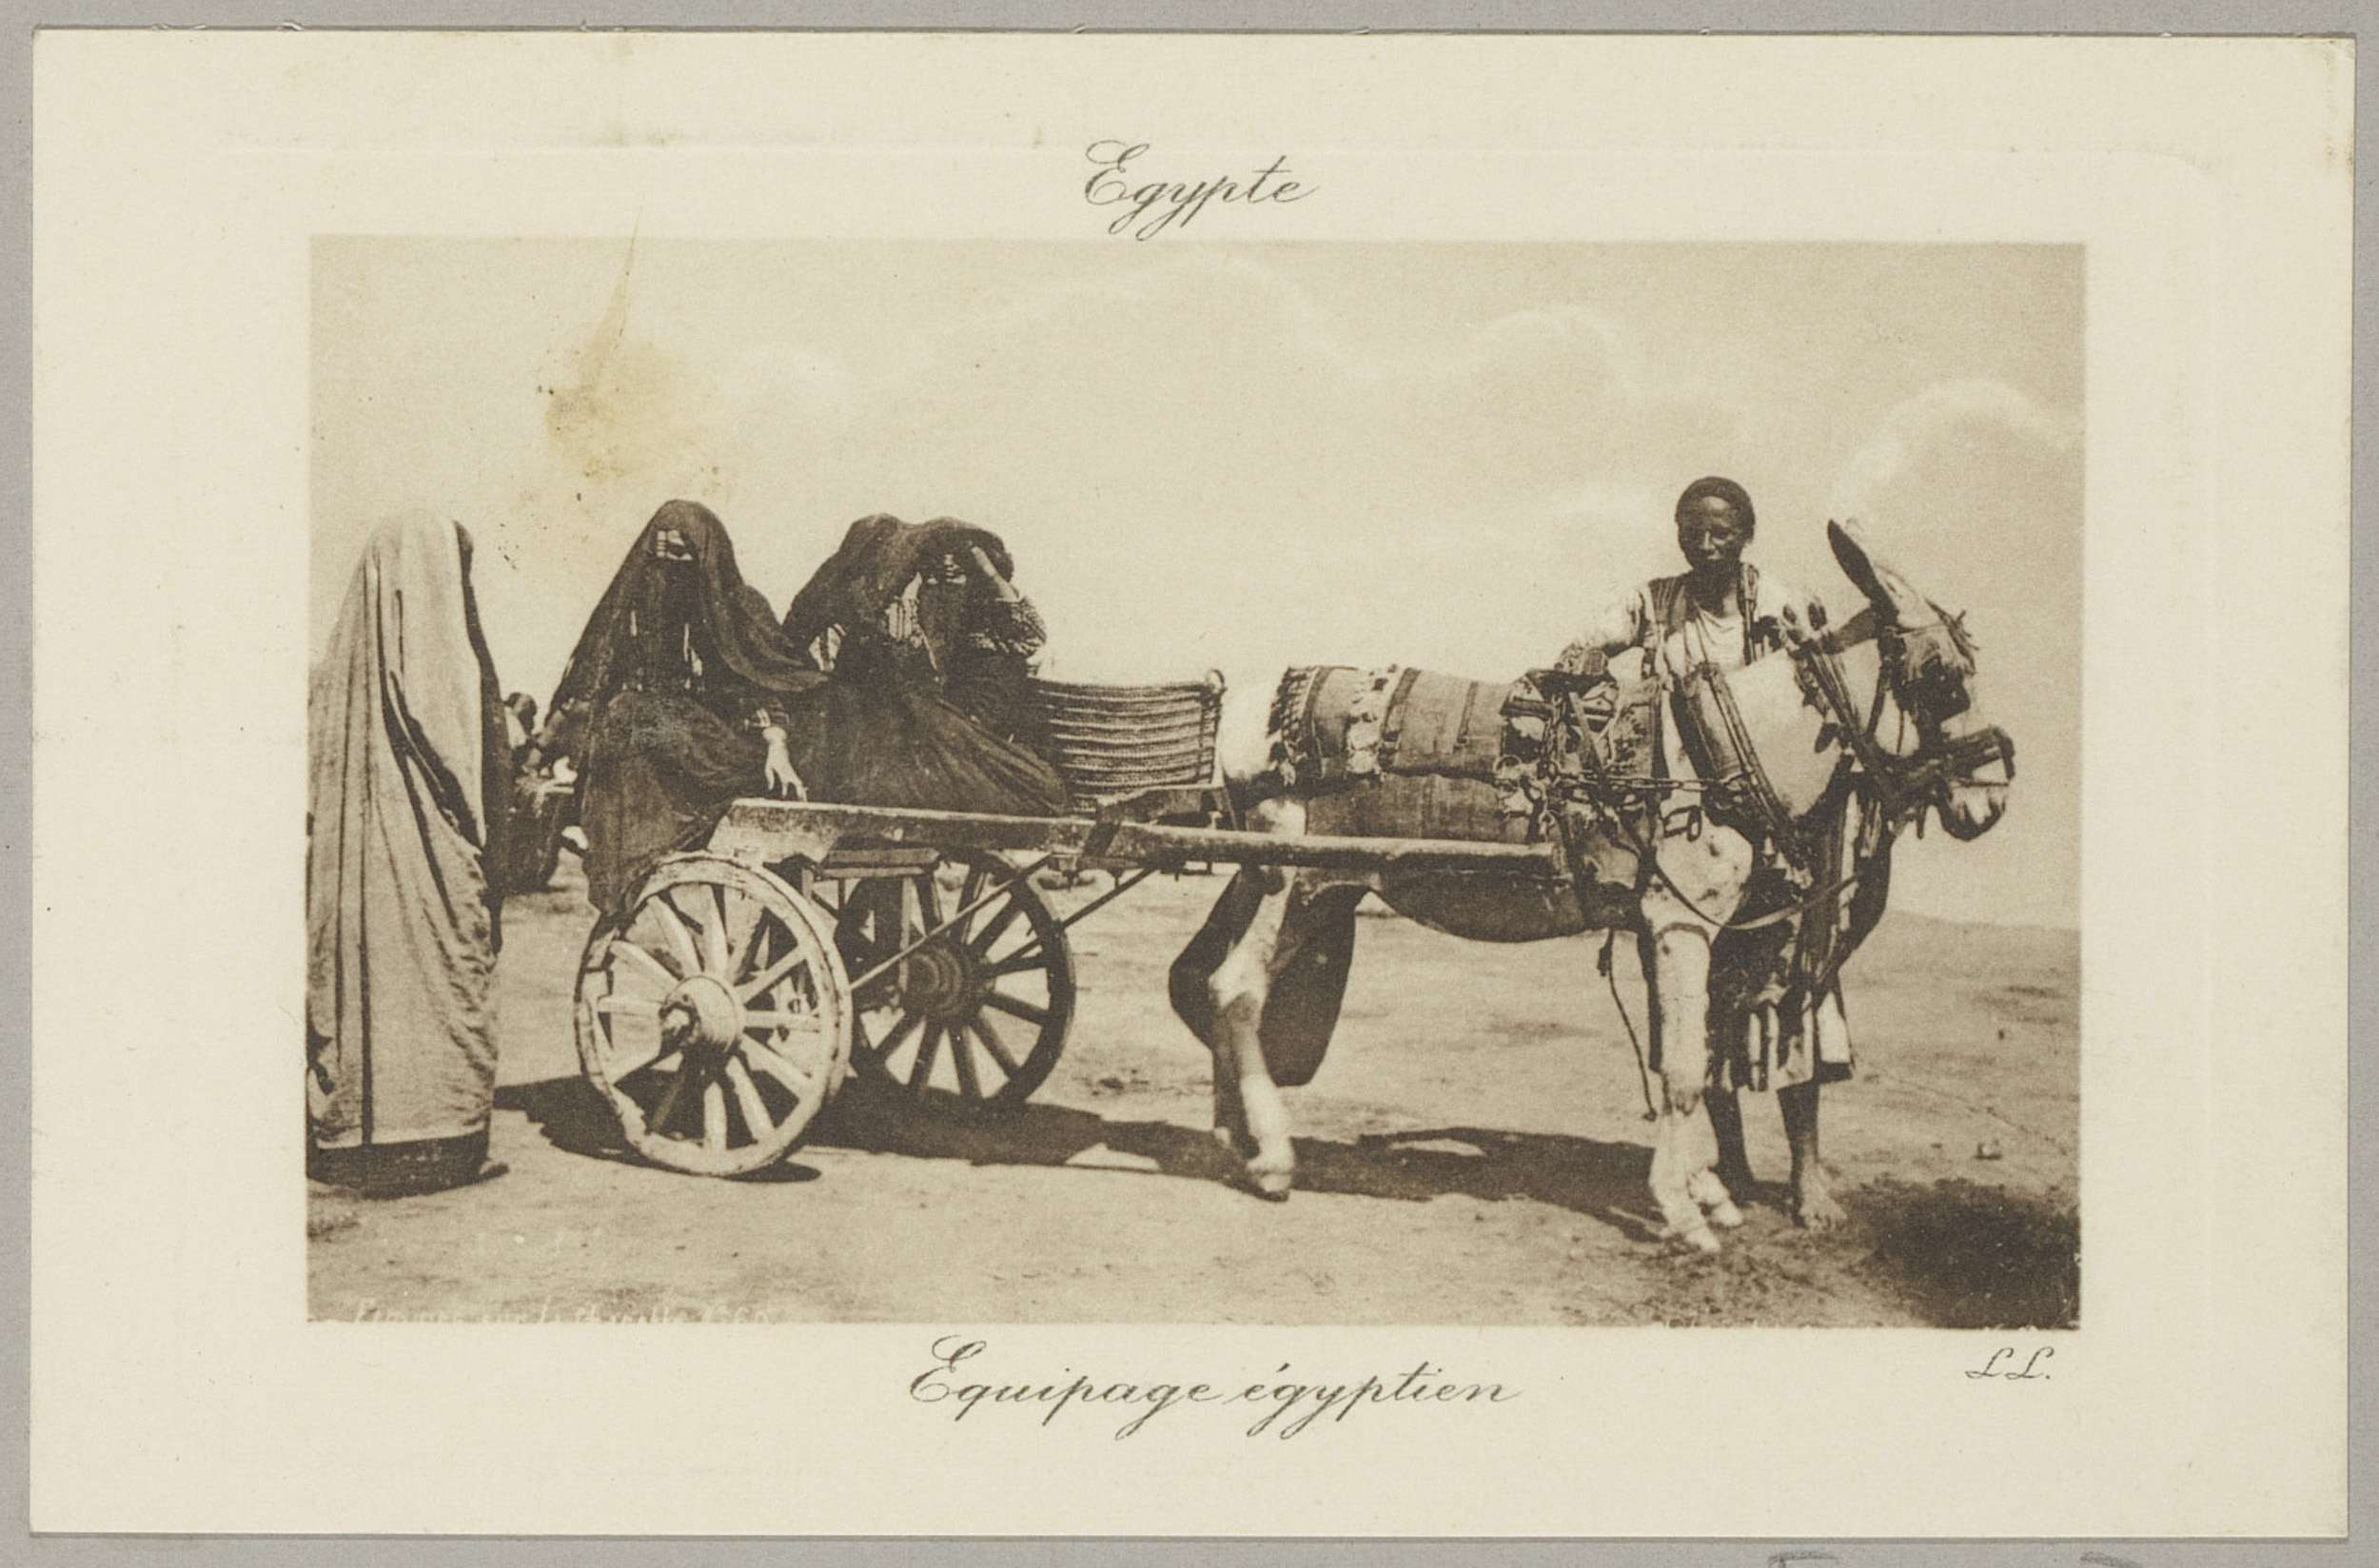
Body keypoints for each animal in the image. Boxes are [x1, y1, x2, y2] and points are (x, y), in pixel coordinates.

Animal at [1167, 521, 2014, 1253]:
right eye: (1944, 679)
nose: (1991, 801)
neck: (1720, 746)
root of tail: (1245, 713)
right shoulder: (1680, 925)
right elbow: (1683, 1069)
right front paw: (1685, 1213)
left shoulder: (1691, 933)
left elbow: (1697, 1055)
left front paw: (1709, 1192)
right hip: (1294, 877)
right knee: (1236, 990)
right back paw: (1274, 1159)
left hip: (1301, 884)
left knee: (1207, 982)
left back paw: (1233, 1138)